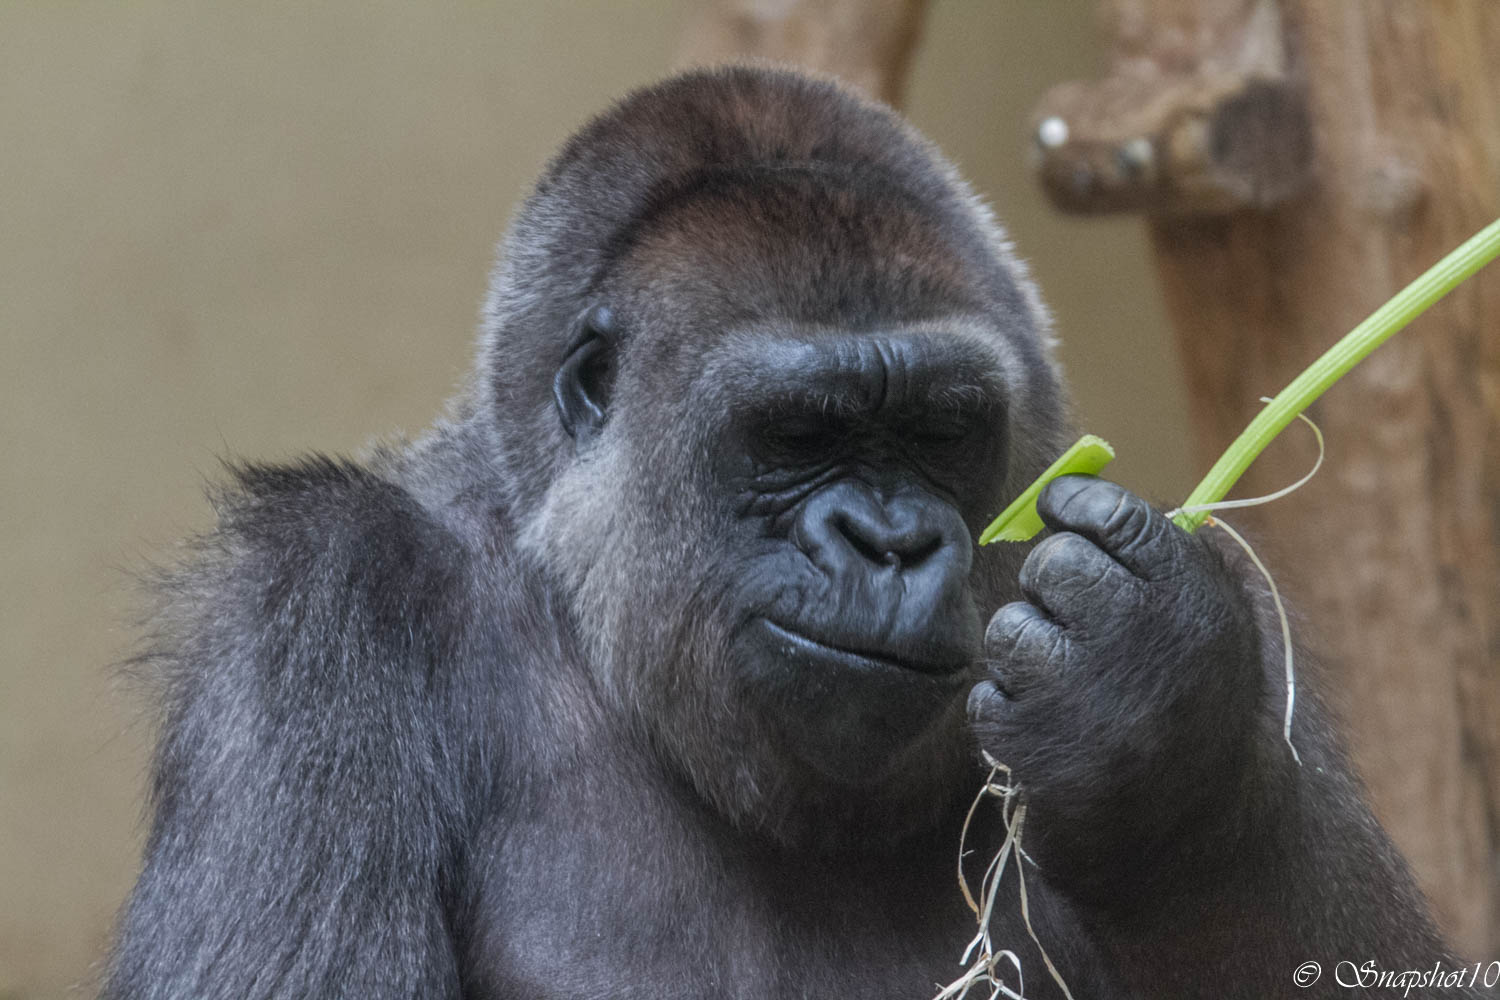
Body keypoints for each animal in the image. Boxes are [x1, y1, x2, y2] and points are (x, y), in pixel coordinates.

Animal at [102, 66, 1476, 995]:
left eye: (939, 431)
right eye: (797, 433)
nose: (888, 541)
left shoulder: (1239, 598)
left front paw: (1163, 731)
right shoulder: (310, 611)